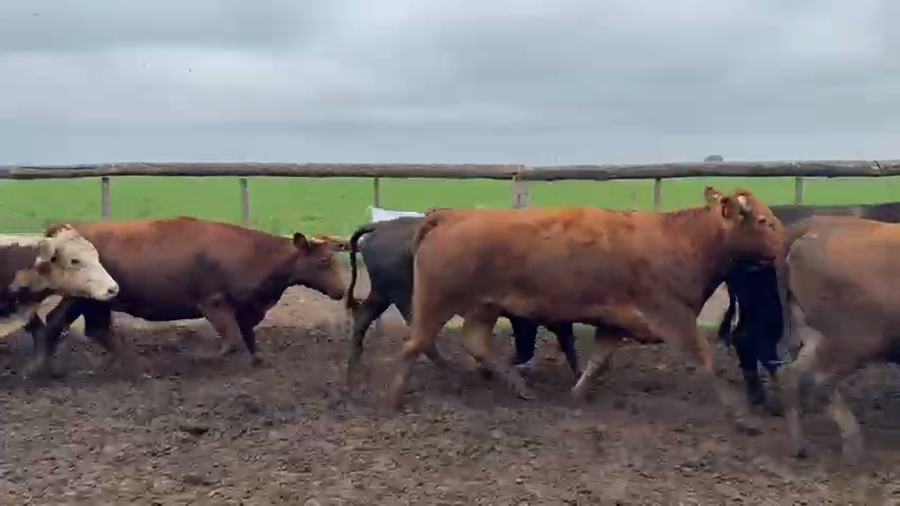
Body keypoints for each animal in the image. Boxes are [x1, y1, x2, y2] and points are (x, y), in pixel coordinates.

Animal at [26, 216, 348, 377]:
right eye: (323, 261)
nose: (342, 290)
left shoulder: (245, 308)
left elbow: (247, 338)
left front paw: (257, 362)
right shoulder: (214, 304)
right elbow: (232, 341)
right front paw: (201, 358)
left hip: (90, 300)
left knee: (72, 324)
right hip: (85, 299)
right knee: (78, 326)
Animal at [344, 215, 580, 381]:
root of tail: (381, 226)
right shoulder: (524, 319)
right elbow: (525, 349)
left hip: (382, 293)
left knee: (364, 318)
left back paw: (353, 371)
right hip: (405, 297)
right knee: (418, 332)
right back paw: (448, 369)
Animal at [386, 187, 784, 430]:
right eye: (763, 221)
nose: (786, 243)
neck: (680, 242)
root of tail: (450, 216)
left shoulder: (615, 323)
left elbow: (598, 361)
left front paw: (577, 394)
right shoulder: (674, 317)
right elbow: (706, 361)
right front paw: (741, 417)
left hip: (484, 306)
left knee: (475, 343)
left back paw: (519, 386)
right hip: (437, 301)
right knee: (415, 344)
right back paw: (395, 398)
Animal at [775, 215, 900, 464]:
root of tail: (814, 226)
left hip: (814, 335)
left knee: (790, 375)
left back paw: (799, 446)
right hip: (856, 342)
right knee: (823, 379)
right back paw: (852, 443)